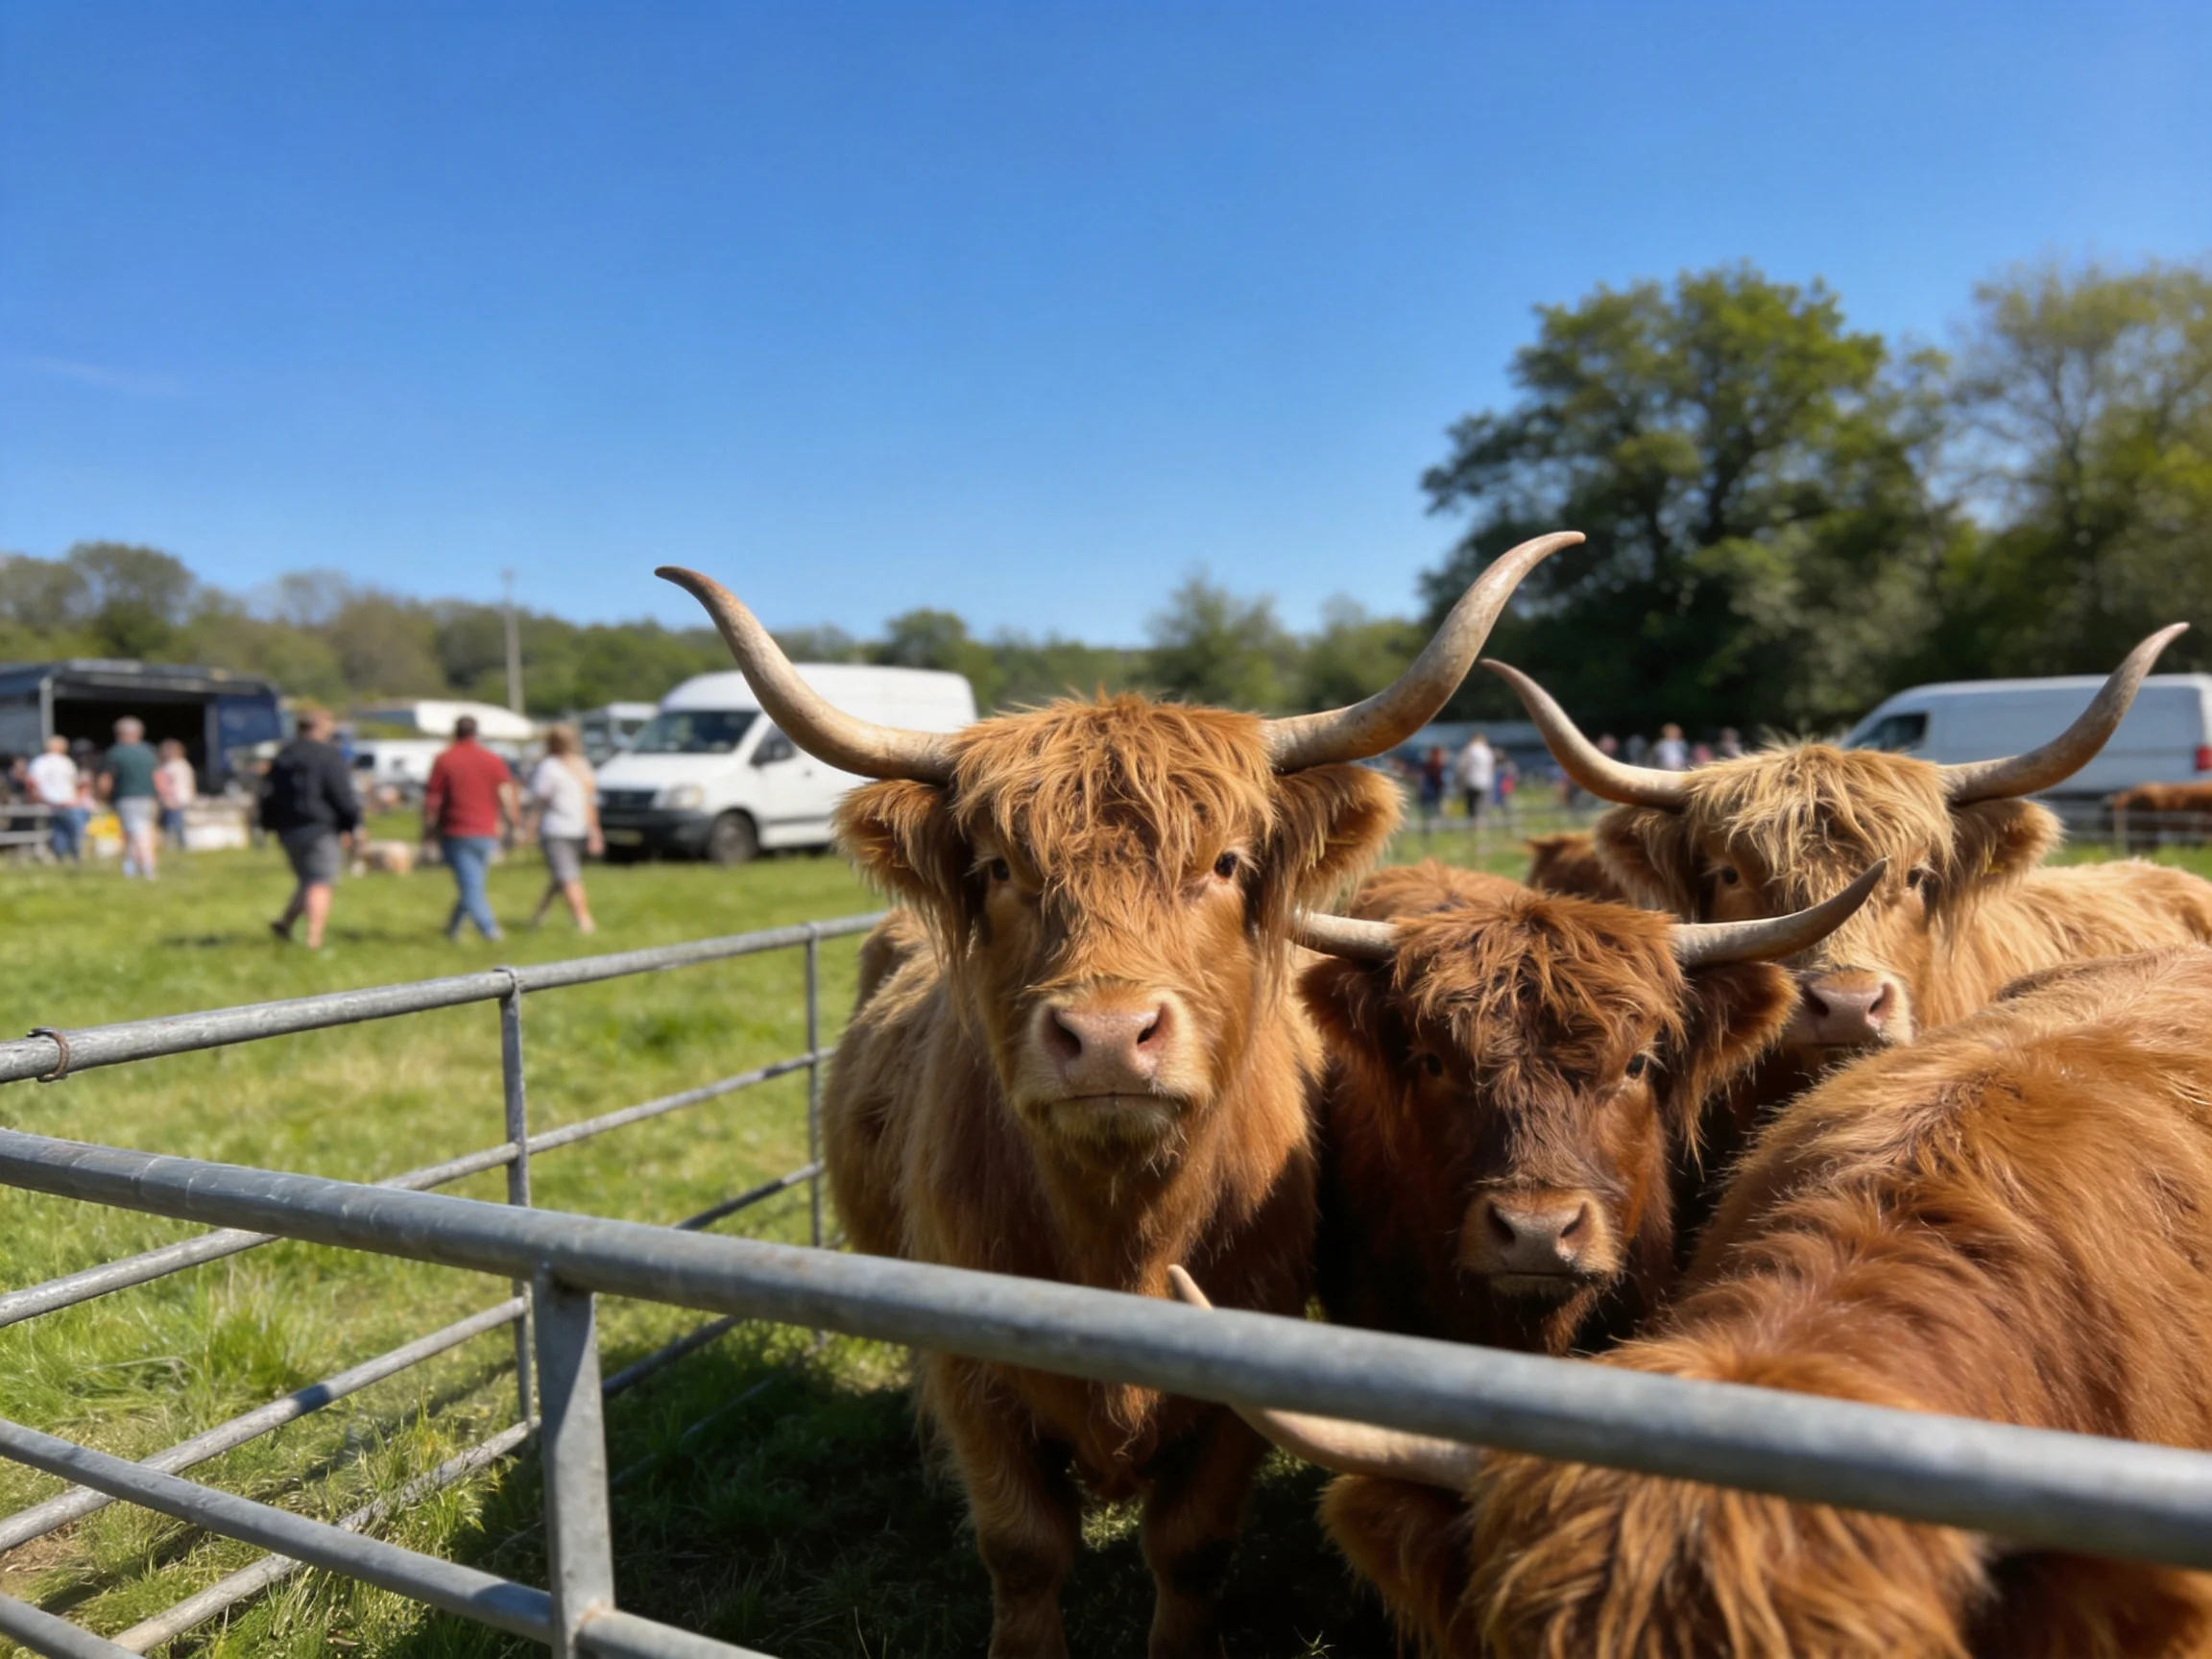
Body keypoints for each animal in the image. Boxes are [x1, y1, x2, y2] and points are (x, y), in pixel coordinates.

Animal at [658, 532, 1576, 1659]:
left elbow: (1190, 1548)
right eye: (999, 867)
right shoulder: (973, 1378)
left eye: (1224, 862)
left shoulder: (1251, 1367)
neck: (1121, 1232)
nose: (1105, 1036)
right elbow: (1022, 1548)